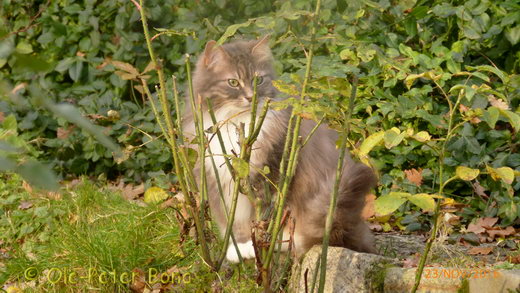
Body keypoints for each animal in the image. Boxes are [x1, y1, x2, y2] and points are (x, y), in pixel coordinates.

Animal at [181, 36, 376, 262]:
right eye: (233, 82)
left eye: (258, 80)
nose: (251, 97)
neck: (239, 125)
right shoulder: (217, 179)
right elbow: (233, 221)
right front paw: (239, 248)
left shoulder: (271, 172)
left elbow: (262, 217)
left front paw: (260, 244)